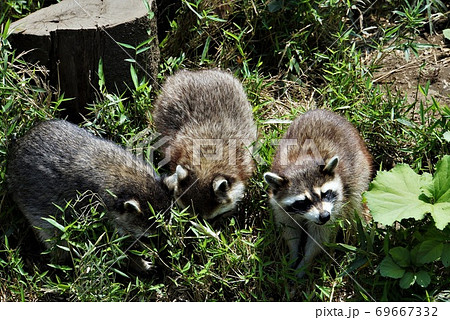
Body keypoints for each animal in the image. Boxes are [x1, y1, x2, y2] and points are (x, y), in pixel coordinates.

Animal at [7, 120, 172, 270]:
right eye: (148, 237)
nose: (166, 248)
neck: (128, 179)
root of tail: (19, 143)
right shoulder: (92, 209)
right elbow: (106, 246)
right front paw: (137, 260)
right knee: (55, 239)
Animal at [262, 109, 370, 278]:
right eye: (303, 202)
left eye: (325, 194)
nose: (324, 216)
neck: (301, 164)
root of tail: (324, 111)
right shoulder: (280, 207)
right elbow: (290, 231)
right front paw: (293, 255)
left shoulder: (335, 208)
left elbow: (319, 239)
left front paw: (304, 263)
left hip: (360, 169)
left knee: (355, 206)